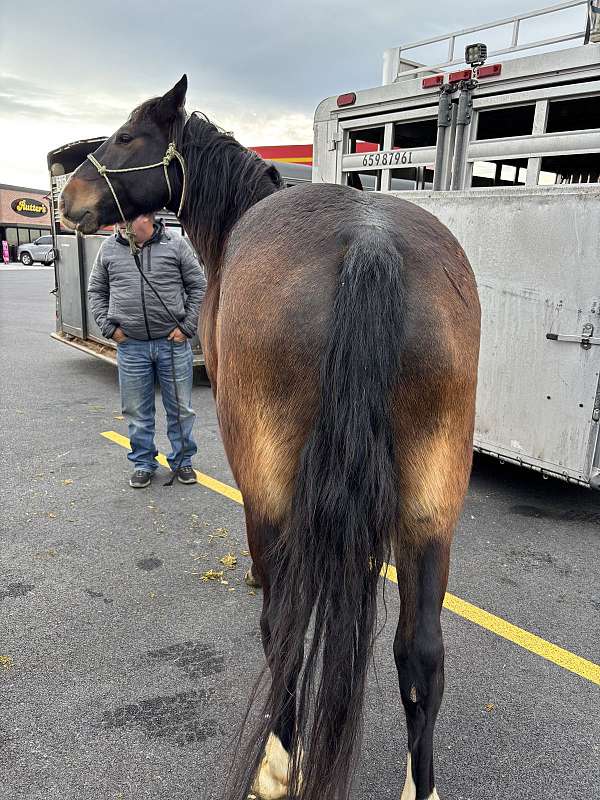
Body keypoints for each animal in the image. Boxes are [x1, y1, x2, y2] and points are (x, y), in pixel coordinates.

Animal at [61, 76, 480, 800]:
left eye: (126, 137)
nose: (68, 198)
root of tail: (370, 244)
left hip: (275, 489)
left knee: (284, 629)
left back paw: (279, 764)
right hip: (432, 510)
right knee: (422, 649)